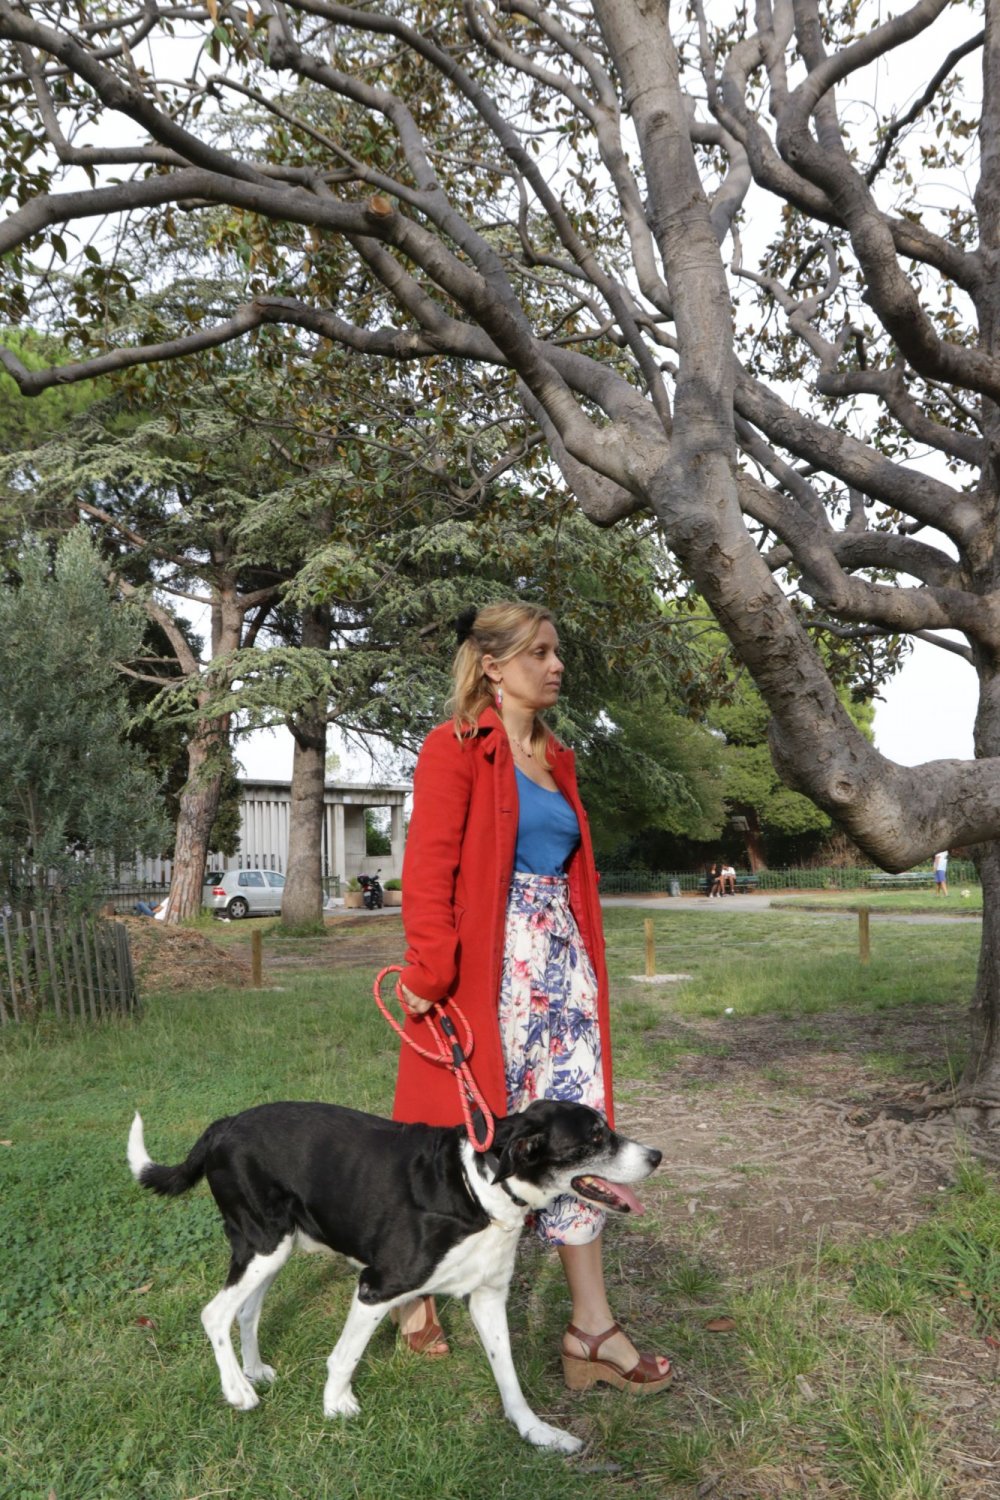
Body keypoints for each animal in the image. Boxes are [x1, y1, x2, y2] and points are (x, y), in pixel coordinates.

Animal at [127, 1097, 661, 1452]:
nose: (656, 1156)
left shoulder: (488, 1297)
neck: (478, 1188)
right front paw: (335, 1407)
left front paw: (536, 1432)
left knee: (247, 1311)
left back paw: (252, 1371)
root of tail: (224, 1125)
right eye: (595, 1137)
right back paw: (237, 1389)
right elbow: (344, 1357)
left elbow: (508, 1376)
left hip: (274, 1250)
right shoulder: (377, 1286)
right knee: (214, 1313)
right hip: (262, 1243)